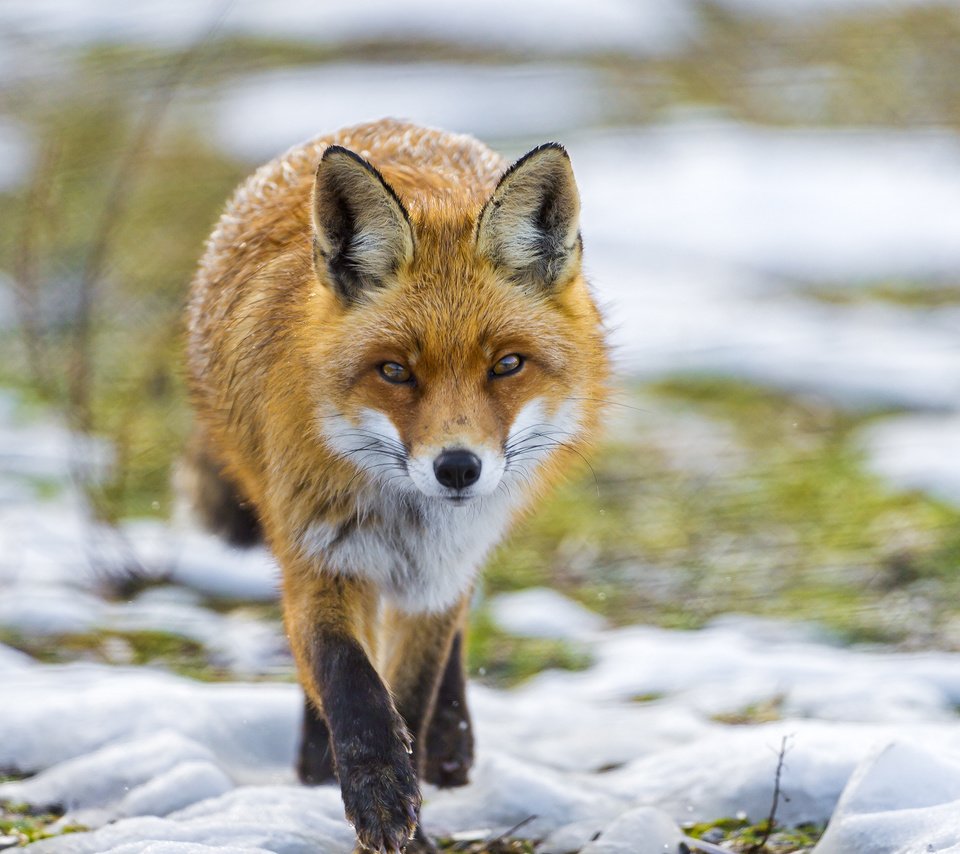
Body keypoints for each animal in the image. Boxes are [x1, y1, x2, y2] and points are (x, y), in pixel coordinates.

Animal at [184, 120, 608, 854]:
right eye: (394, 371)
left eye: (507, 365)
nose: (458, 468)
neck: (406, 518)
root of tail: (383, 125)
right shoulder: (316, 554)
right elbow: (349, 680)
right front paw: (376, 791)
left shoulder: (438, 575)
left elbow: (412, 690)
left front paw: (412, 808)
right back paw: (317, 760)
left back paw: (449, 744)